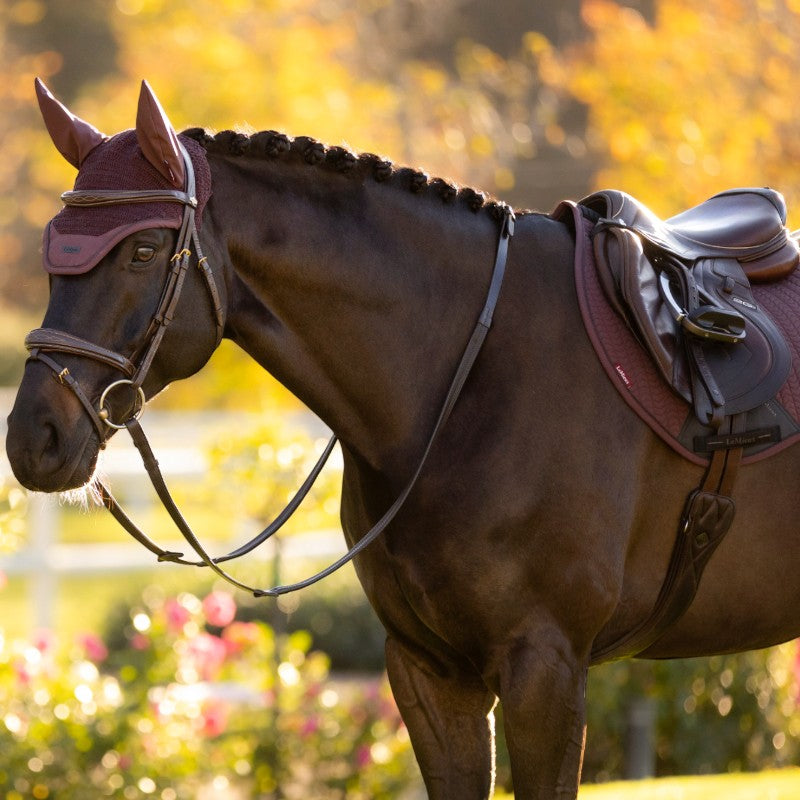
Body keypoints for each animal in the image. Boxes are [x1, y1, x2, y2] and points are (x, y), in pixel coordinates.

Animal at [8, 79, 800, 800]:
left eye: (144, 250)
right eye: (51, 250)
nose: (31, 439)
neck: (469, 376)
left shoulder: (545, 668)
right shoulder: (430, 673)